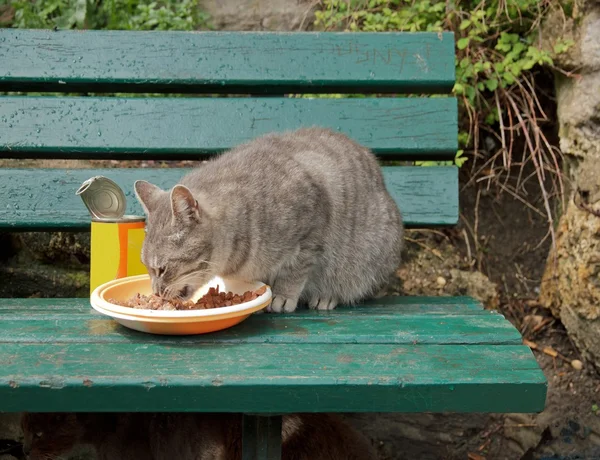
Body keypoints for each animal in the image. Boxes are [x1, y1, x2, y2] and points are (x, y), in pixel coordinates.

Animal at [134, 126, 400, 312]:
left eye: (161, 269)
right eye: (146, 267)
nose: (155, 293)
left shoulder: (311, 230)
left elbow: (294, 271)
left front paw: (282, 296)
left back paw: (328, 295)